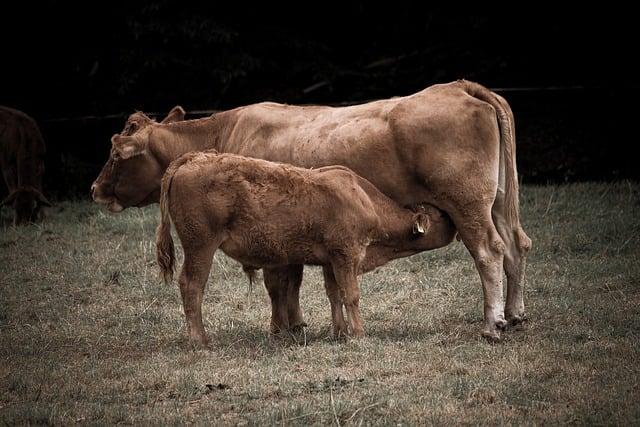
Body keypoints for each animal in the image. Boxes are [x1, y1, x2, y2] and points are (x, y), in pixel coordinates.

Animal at [92, 79, 532, 342]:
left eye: (114, 154)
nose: (95, 189)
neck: (223, 134)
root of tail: (461, 87)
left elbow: (278, 283)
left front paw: (283, 328)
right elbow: (293, 282)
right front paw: (296, 324)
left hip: (469, 207)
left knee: (489, 252)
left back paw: (492, 323)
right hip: (498, 204)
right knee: (516, 247)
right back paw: (515, 314)